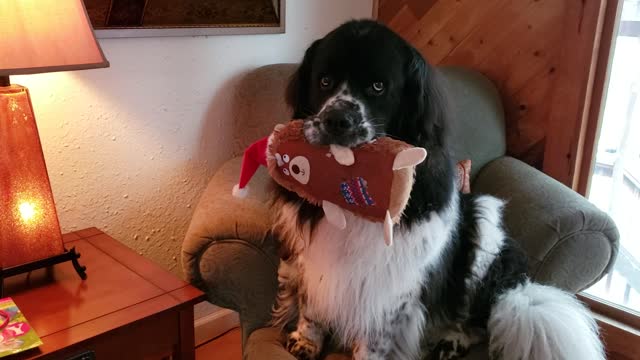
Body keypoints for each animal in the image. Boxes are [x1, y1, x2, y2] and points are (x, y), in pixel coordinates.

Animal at [270, 20, 604, 360]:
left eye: (378, 87)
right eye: (324, 81)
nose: (337, 119)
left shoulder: (392, 285)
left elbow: (377, 337)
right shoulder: (311, 254)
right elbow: (312, 303)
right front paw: (306, 341)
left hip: (483, 229)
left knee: (477, 319)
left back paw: (451, 341)